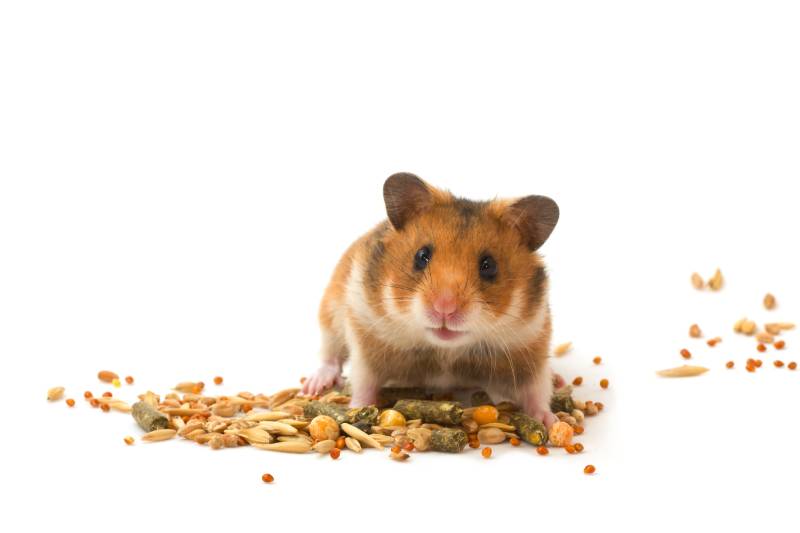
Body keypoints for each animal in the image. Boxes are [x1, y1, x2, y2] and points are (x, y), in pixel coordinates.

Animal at [301, 172, 561, 426]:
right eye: (421, 256)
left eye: (489, 266)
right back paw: (313, 386)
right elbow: (364, 382)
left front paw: (550, 421)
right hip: (330, 313)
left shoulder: (531, 343)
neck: (445, 350)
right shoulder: (365, 335)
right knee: (330, 355)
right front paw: (355, 410)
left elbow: (537, 391)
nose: (444, 308)